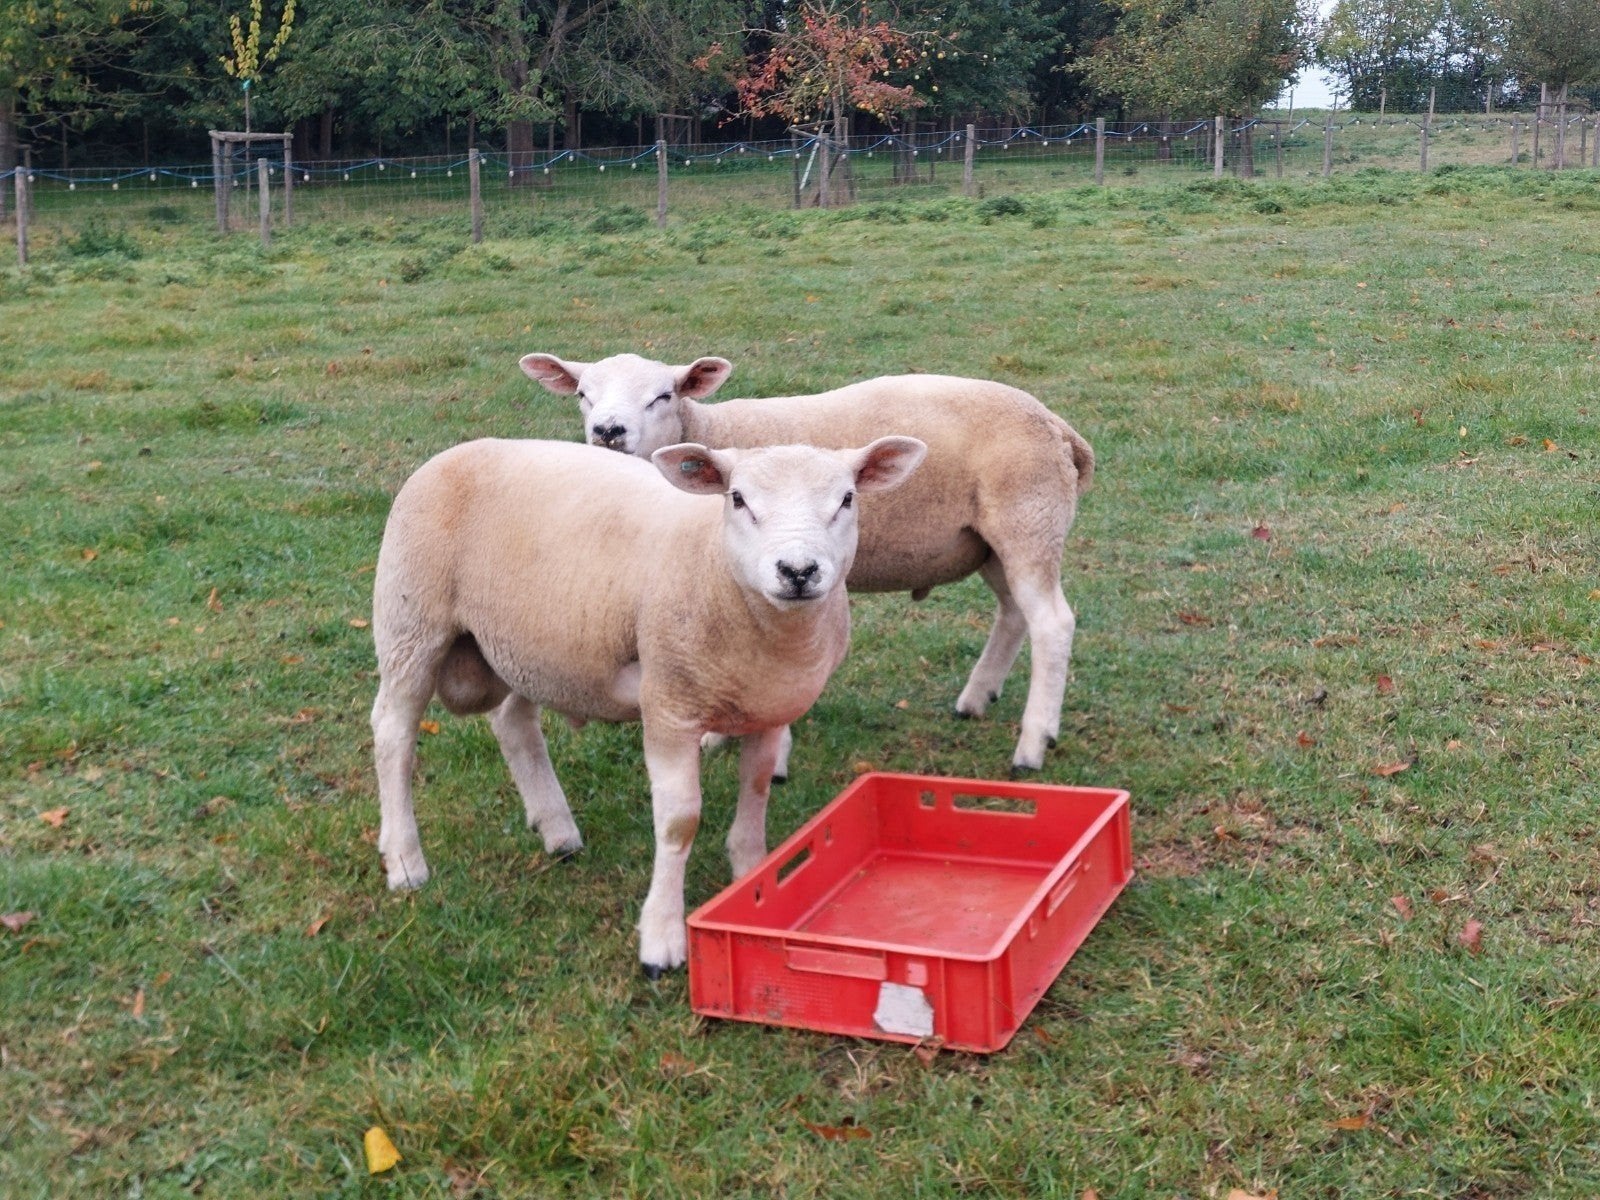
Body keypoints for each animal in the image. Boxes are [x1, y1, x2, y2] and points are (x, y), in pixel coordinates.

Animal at [369, 434, 927, 975]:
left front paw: (755, 879)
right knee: (393, 733)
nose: (797, 570)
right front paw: (662, 937)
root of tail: (456, 450)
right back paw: (405, 860)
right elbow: (679, 822)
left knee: (513, 723)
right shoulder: (668, 707)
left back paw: (557, 831)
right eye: (738, 498)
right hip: (410, 621)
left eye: (847, 499)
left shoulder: (770, 707)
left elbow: (757, 788)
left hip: (527, 647)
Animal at [519, 351, 1095, 772]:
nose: (608, 432)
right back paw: (976, 698)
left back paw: (1032, 745)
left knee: (1053, 622)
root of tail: (1059, 427)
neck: (709, 430)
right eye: (583, 395)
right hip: (992, 539)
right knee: (1015, 612)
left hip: (1029, 518)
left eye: (663, 395)